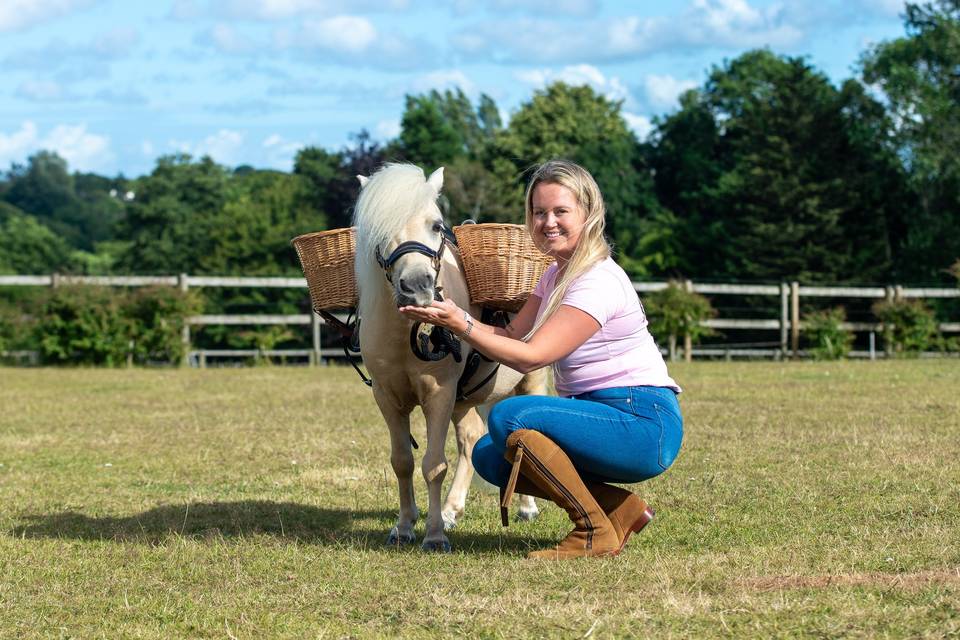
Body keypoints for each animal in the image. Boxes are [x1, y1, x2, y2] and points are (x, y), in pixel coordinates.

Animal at [352, 164, 548, 552]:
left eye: (436, 225)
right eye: (380, 231)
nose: (417, 286)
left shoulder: (439, 395)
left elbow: (433, 464)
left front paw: (434, 536)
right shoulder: (387, 397)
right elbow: (402, 461)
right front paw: (405, 527)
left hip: (530, 382)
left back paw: (526, 507)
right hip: (466, 399)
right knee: (471, 437)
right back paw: (451, 510)